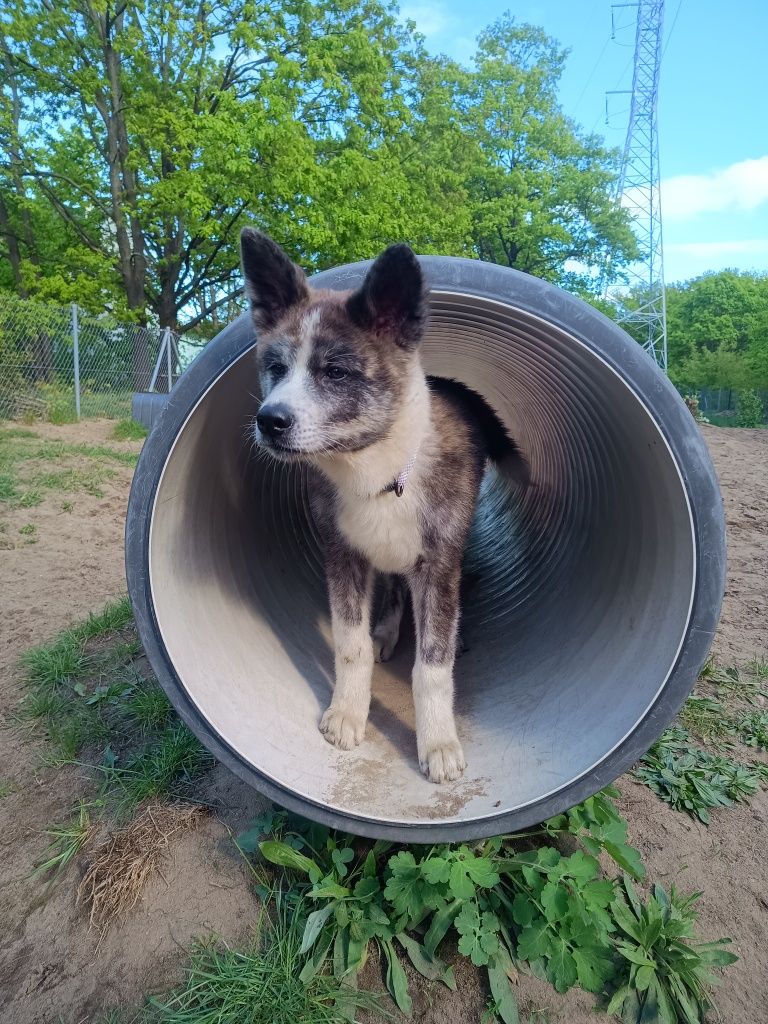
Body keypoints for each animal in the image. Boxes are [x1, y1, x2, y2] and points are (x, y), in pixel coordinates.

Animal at [241, 228, 528, 778]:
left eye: (335, 371)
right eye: (276, 367)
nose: (270, 421)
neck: (377, 474)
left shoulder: (437, 563)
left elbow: (432, 666)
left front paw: (438, 743)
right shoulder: (343, 556)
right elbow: (350, 645)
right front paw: (348, 714)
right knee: (393, 593)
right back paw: (386, 634)